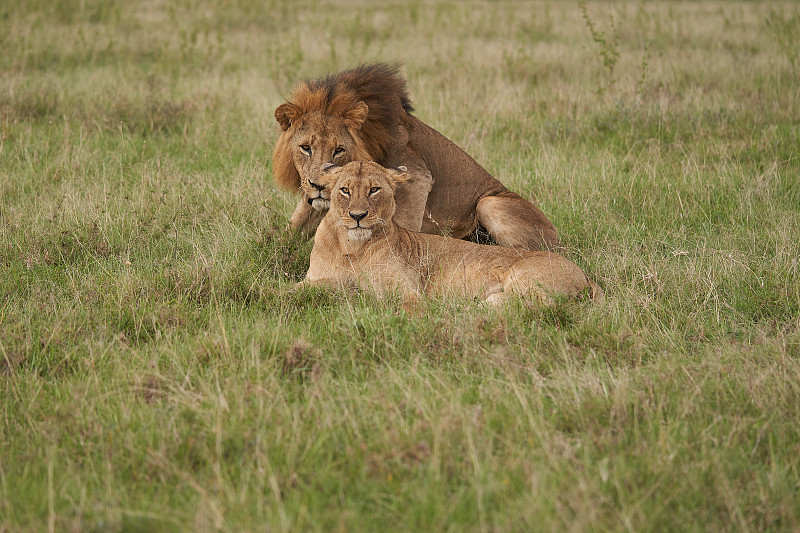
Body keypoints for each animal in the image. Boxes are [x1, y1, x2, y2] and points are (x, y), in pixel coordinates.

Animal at [272, 63, 560, 250]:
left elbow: (401, 226)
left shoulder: (417, 179)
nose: (319, 186)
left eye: (339, 150)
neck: (370, 137)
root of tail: (558, 237)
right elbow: (290, 231)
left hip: (488, 203)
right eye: (305, 148)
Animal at [296, 160, 604, 306]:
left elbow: (400, 306)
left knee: (539, 307)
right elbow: (290, 290)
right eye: (344, 190)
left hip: (524, 277)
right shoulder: (313, 280)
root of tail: (586, 276)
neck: (352, 246)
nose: (357, 217)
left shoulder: (408, 291)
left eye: (374, 189)